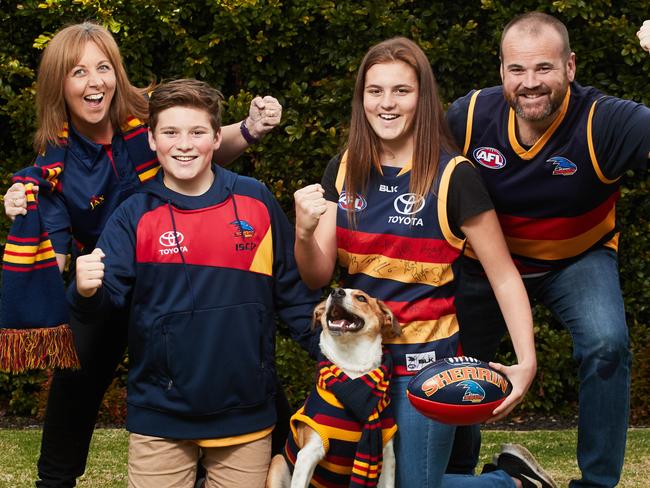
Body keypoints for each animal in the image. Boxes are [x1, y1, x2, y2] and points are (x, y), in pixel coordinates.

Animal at [264, 288, 400, 486]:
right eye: (330, 294)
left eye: (361, 298)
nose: (336, 291)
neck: (352, 369)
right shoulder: (308, 453)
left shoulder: (388, 456)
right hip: (278, 462)